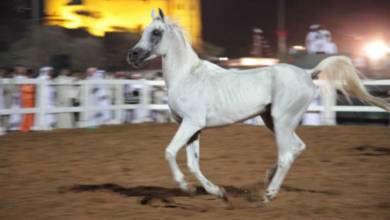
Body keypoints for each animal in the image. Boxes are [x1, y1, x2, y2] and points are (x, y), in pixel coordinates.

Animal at [128, 9, 390, 203]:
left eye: (156, 32)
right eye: (143, 31)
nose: (132, 55)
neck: (187, 76)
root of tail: (307, 73)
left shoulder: (191, 123)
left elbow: (169, 152)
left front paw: (185, 187)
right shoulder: (193, 128)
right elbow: (193, 163)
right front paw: (217, 192)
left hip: (282, 121)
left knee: (286, 154)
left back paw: (269, 194)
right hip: (272, 120)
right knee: (297, 147)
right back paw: (267, 179)